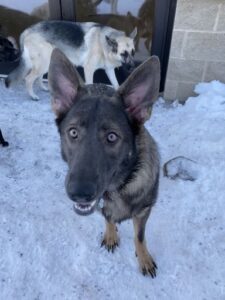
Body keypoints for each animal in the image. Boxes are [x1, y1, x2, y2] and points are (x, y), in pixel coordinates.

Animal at [5, 21, 135, 101]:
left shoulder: (109, 70)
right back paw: (33, 96)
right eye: (123, 54)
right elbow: (90, 84)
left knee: (38, 77)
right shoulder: (88, 69)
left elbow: (116, 84)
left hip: (46, 62)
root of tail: (27, 30)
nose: (133, 67)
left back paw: (43, 88)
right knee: (29, 79)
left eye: (133, 52)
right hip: (44, 63)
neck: (104, 45)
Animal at [48, 49, 160, 276]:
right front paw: (110, 234)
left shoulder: (144, 211)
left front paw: (143, 257)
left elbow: (140, 236)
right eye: (73, 132)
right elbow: (108, 218)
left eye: (112, 137)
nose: (79, 194)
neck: (119, 187)